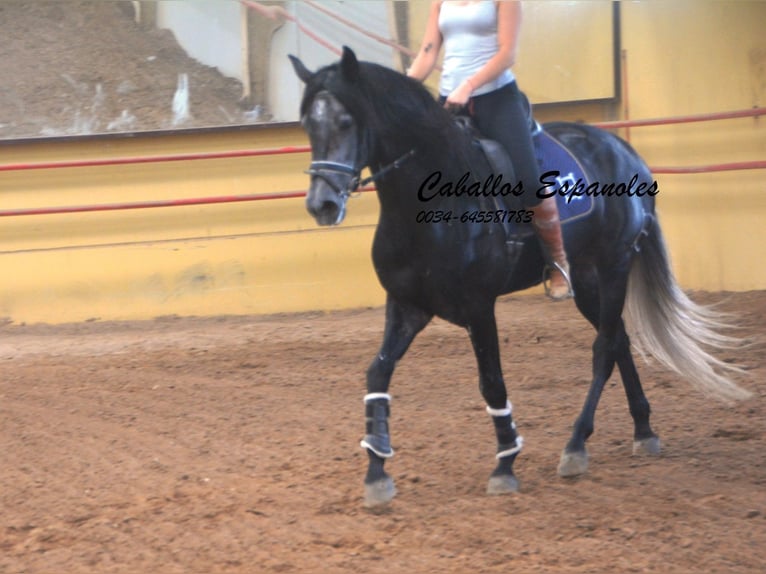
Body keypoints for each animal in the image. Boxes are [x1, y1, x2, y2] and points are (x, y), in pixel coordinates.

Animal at [290, 48, 752, 508]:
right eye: (309, 124)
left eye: (346, 121)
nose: (321, 205)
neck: (429, 205)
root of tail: (623, 149)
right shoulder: (407, 305)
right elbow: (377, 375)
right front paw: (377, 471)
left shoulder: (479, 307)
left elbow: (492, 384)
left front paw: (505, 464)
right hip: (586, 279)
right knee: (618, 339)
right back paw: (643, 430)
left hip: (615, 264)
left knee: (604, 348)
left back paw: (575, 446)